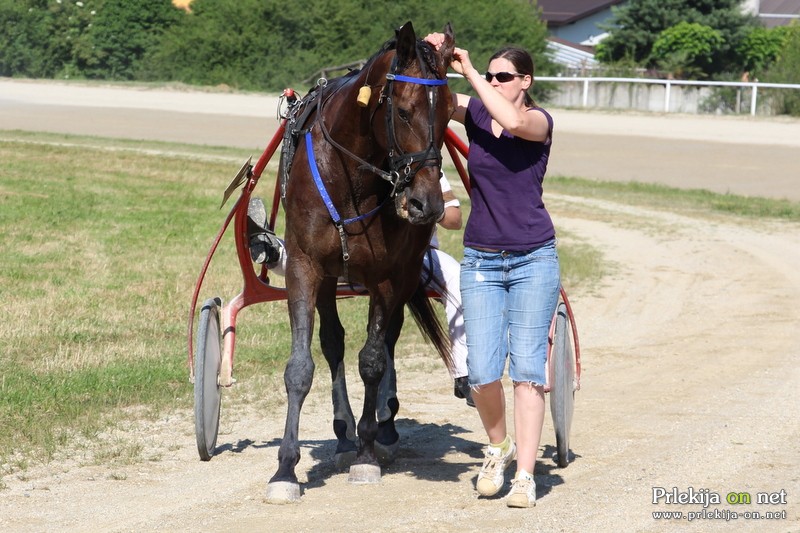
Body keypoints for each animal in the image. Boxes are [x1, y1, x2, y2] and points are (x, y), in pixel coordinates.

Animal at [266, 21, 456, 502]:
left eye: (450, 112)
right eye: (404, 111)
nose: (426, 203)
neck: (352, 175)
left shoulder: (387, 275)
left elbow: (372, 359)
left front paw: (368, 452)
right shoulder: (305, 265)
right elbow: (301, 366)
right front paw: (285, 469)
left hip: (403, 273)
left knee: (388, 339)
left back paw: (381, 429)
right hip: (331, 276)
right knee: (333, 342)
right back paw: (343, 433)